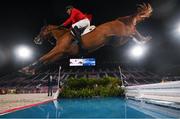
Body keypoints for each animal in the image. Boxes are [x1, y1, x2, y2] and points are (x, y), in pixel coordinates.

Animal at [22, 3, 152, 72]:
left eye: (42, 30)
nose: (36, 40)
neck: (61, 35)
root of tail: (118, 20)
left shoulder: (59, 50)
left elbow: (43, 57)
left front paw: (26, 69)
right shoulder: (62, 53)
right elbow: (46, 60)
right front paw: (30, 69)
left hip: (122, 34)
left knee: (132, 31)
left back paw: (144, 39)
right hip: (118, 41)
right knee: (131, 34)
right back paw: (143, 40)